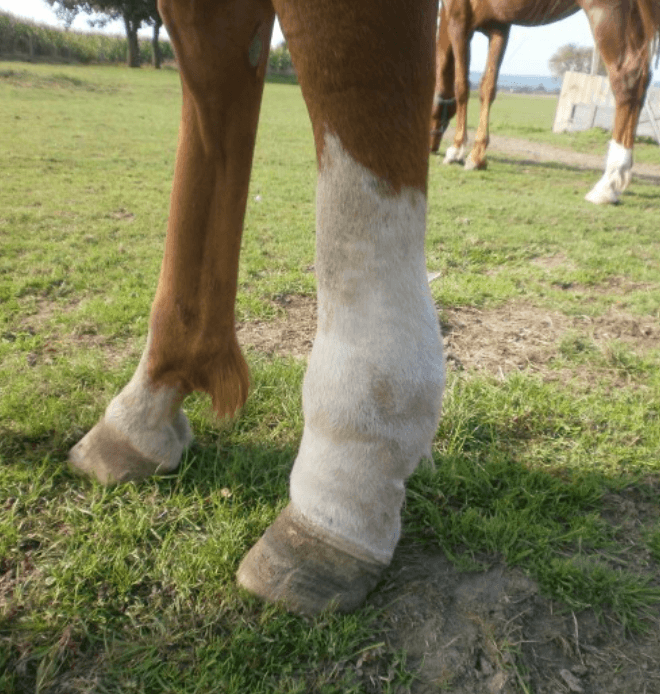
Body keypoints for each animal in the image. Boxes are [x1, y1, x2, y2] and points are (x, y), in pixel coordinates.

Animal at [429, 0, 658, 204]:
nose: (431, 148)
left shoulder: (459, 22)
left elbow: (462, 87)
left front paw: (456, 150)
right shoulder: (499, 28)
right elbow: (487, 88)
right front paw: (477, 156)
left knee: (627, 77)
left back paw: (608, 183)